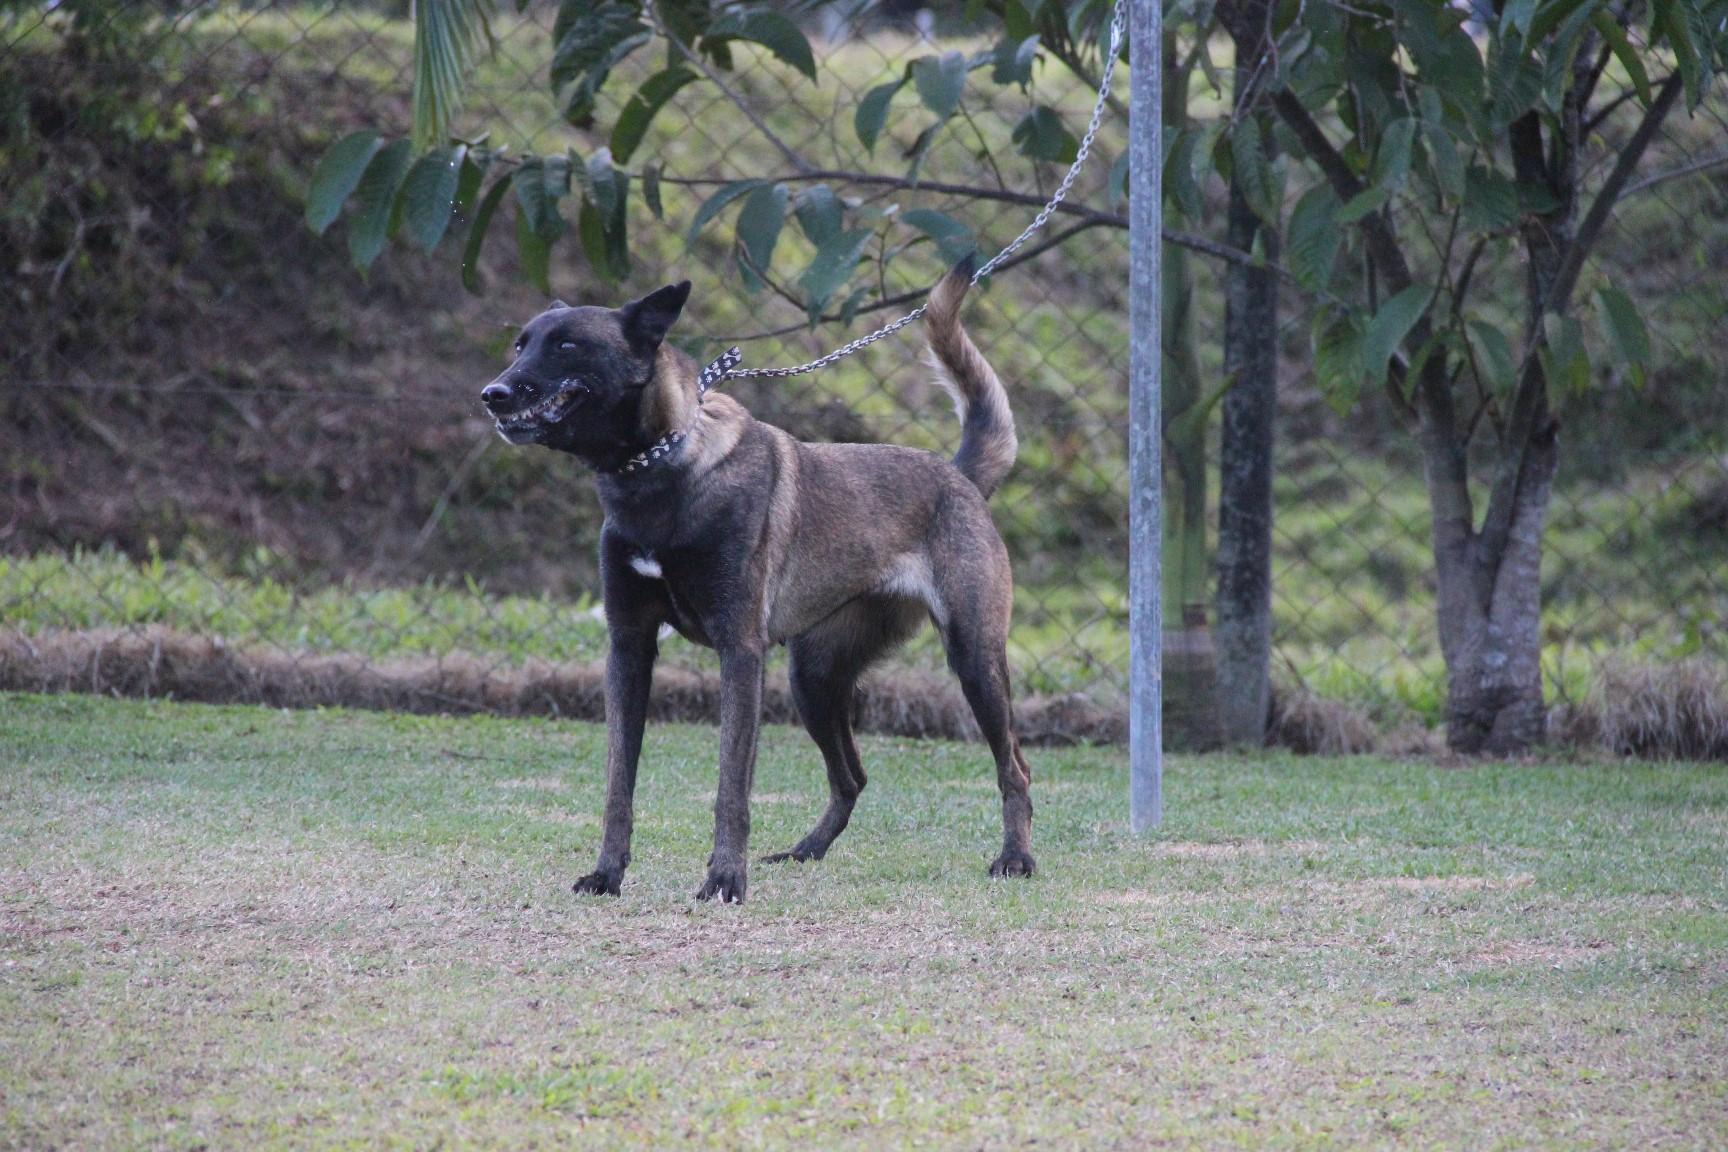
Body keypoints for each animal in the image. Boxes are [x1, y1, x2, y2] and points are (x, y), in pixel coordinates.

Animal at [480, 259, 1029, 898]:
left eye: (567, 345)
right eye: (521, 345)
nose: (492, 394)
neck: (660, 470)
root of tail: (960, 477)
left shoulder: (739, 652)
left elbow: (731, 789)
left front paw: (723, 879)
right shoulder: (629, 648)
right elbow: (619, 782)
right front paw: (608, 873)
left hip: (973, 660)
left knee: (1014, 769)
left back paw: (1016, 858)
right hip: (812, 679)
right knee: (852, 777)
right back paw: (806, 851)